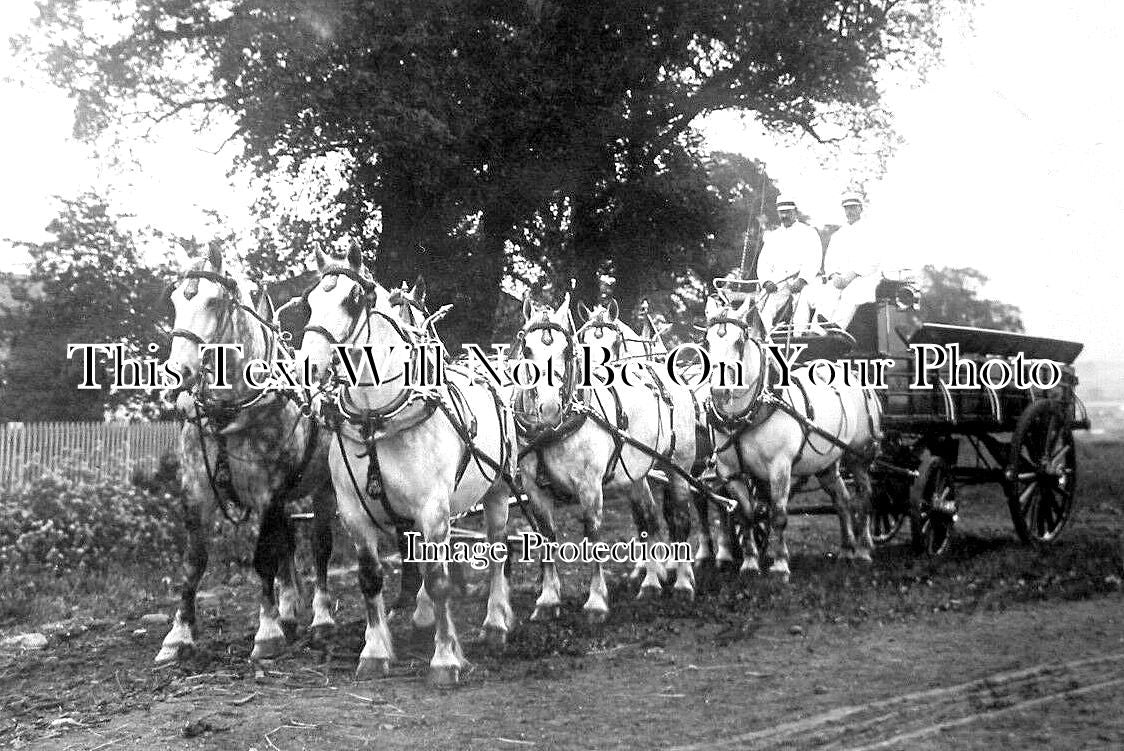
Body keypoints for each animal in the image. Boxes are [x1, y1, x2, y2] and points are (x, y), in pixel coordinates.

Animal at [161, 243, 337, 661]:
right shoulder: (196, 490)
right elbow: (194, 562)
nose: (177, 375)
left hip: (325, 489)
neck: (230, 413)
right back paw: (289, 611)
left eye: (213, 302)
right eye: (175, 300)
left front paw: (267, 632)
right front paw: (178, 635)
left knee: (319, 547)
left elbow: (263, 559)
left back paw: (320, 619)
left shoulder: (267, 493)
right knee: (287, 543)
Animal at [294, 247, 514, 688]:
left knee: (497, 551)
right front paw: (375, 652)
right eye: (309, 302)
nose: (307, 367)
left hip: (497, 491)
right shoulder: (354, 511)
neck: (376, 417)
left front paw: (445, 659)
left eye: (352, 300)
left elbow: (439, 579)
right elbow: (370, 578)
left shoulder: (433, 510)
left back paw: (495, 624)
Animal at [514, 292, 692, 620]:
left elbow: (594, 535)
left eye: (566, 350)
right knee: (648, 519)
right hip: (635, 473)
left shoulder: (589, 485)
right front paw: (548, 599)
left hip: (679, 466)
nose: (549, 409)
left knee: (681, 518)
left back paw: (684, 583)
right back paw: (650, 583)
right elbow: (547, 537)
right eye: (527, 348)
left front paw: (596, 601)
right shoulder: (533, 487)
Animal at [705, 290, 881, 580]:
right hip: (826, 464)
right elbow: (746, 515)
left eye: (739, 341)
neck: (747, 416)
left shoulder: (780, 466)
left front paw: (779, 565)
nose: (720, 391)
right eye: (706, 341)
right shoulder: (732, 472)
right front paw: (750, 563)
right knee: (842, 500)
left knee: (865, 497)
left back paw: (864, 550)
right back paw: (846, 550)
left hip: (859, 456)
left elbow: (778, 514)